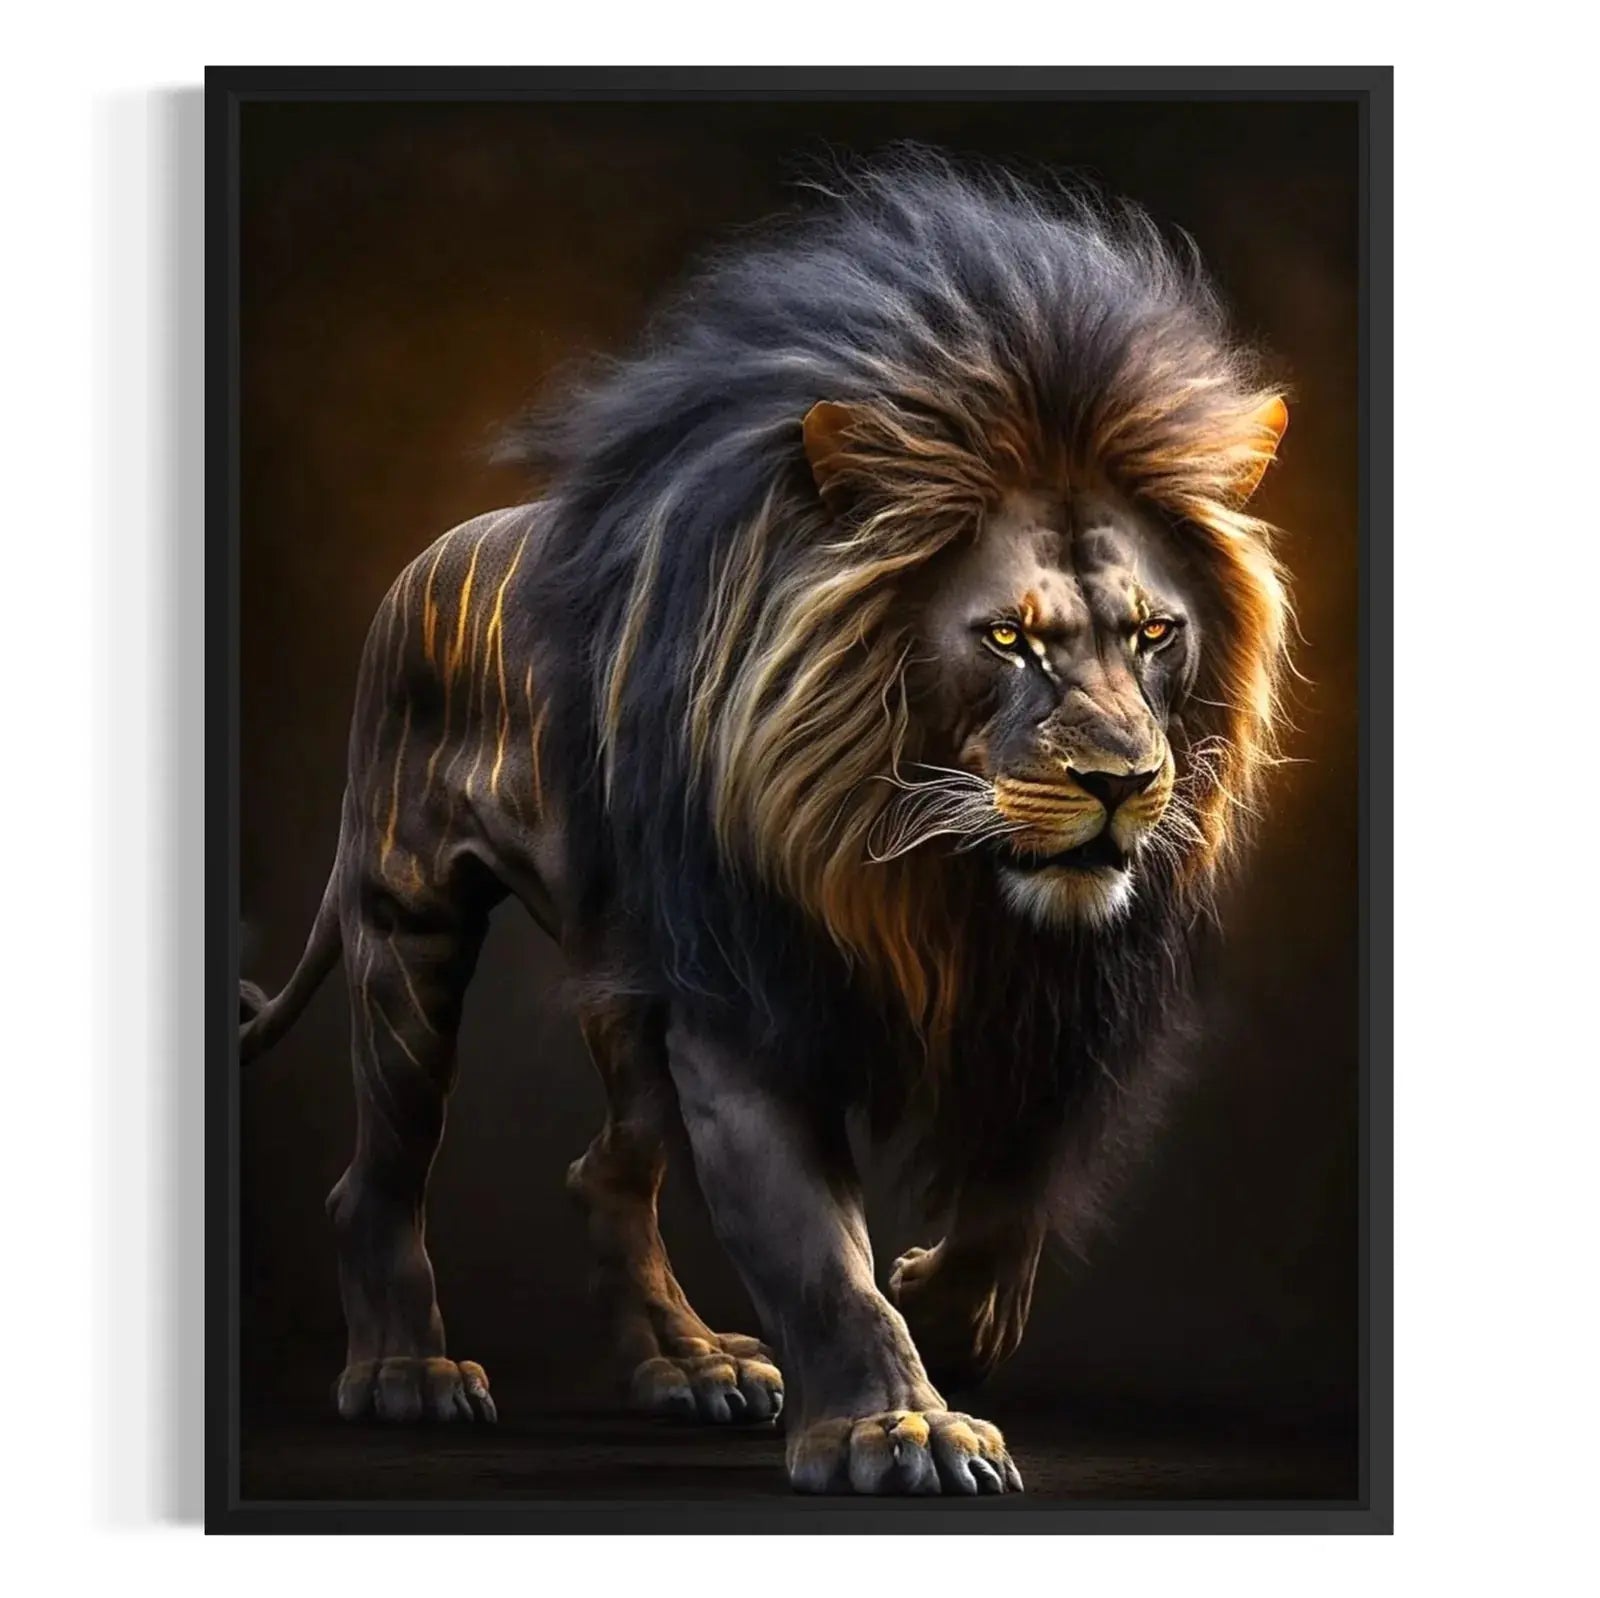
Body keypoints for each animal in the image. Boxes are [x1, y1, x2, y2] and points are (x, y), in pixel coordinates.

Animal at [239, 155, 1291, 1496]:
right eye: (1008, 636)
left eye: (1155, 632)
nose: (1121, 780)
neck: (928, 870)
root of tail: (425, 558)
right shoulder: (744, 999)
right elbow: (811, 1246)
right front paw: (902, 1423)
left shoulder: (1062, 1003)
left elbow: (1017, 1191)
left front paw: (949, 1314)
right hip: (407, 923)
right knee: (377, 1168)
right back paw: (406, 1372)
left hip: (622, 980)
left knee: (603, 1171)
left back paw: (688, 1365)